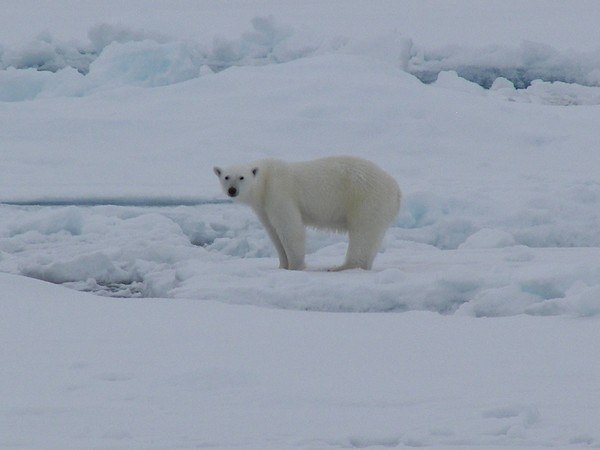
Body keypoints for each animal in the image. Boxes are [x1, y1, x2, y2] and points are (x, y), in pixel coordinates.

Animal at [213, 155, 400, 270]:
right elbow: (273, 233)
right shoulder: (263, 207)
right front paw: (282, 265)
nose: (232, 190)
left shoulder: (278, 193)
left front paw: (295, 266)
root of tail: (396, 189)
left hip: (366, 199)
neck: (265, 180)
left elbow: (290, 228)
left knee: (362, 233)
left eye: (242, 177)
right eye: (226, 177)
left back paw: (341, 267)